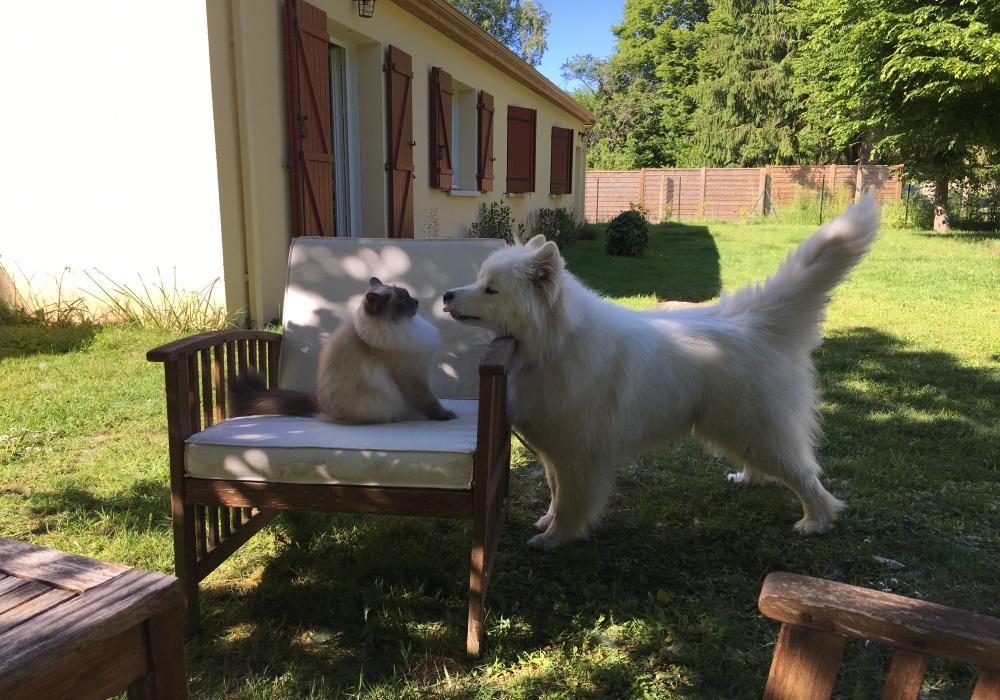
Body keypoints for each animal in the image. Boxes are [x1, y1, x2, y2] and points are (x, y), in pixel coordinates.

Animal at [232, 278, 456, 422]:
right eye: (402, 301)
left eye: (408, 295)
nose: (416, 301)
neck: (403, 327)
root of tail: (320, 406)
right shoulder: (413, 377)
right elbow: (428, 401)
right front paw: (445, 415)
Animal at [442, 196, 880, 548]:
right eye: (479, 281)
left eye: (491, 290)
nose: (446, 294)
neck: (557, 341)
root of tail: (755, 322)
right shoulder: (554, 448)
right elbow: (553, 491)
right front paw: (547, 522)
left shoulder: (579, 453)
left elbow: (569, 502)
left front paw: (554, 539)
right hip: (743, 430)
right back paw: (748, 480)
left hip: (758, 430)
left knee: (807, 477)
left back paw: (816, 522)